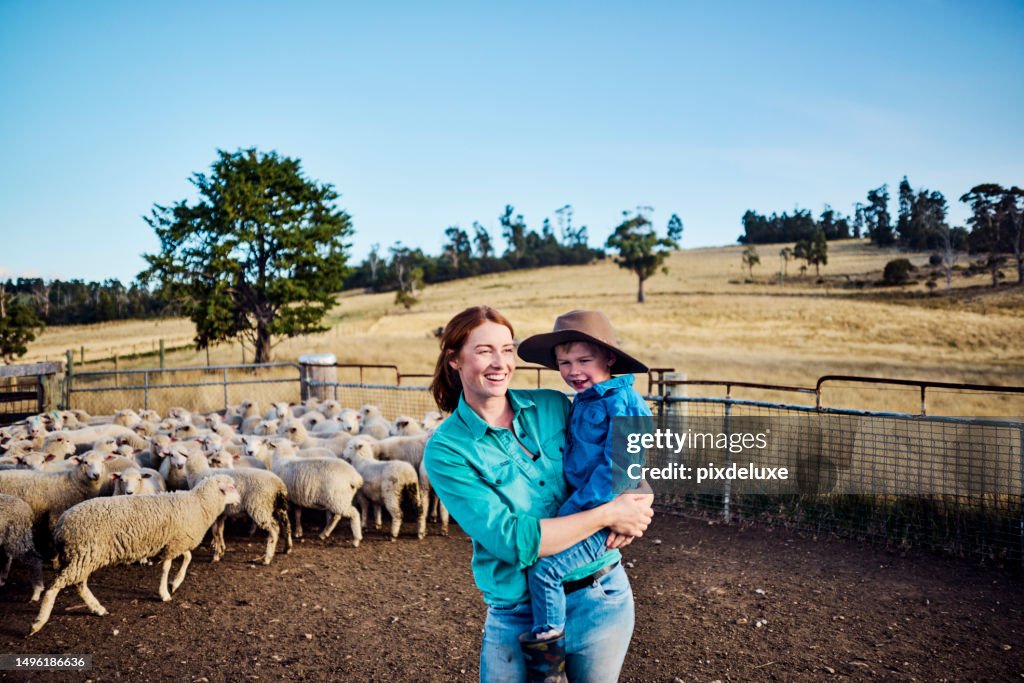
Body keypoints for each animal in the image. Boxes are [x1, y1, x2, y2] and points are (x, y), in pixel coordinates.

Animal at [28, 475, 242, 635]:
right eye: (231, 486)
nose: (239, 501)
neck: (199, 503)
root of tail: (60, 525)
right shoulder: (174, 543)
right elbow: (167, 566)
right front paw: (165, 592)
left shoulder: (176, 541)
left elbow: (187, 558)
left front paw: (175, 583)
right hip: (84, 554)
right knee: (56, 587)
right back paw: (38, 623)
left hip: (83, 556)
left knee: (79, 585)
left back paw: (97, 609)